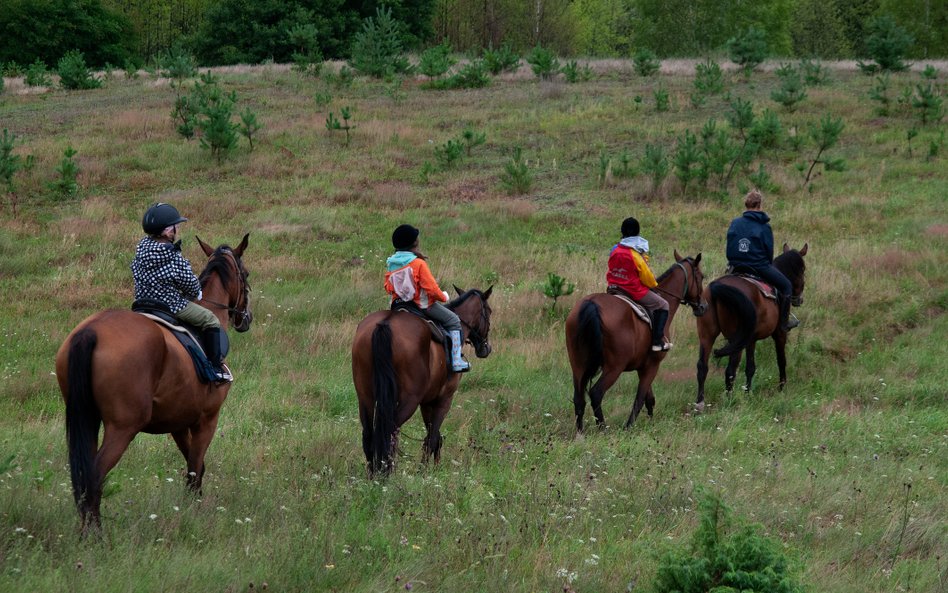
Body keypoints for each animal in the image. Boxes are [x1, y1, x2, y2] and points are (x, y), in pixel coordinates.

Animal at [55, 232, 252, 532]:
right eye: (247, 274)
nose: (245, 319)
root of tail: (91, 331)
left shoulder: (179, 423)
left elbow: (194, 466)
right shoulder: (206, 419)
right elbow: (196, 469)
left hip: (86, 419)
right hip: (122, 428)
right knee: (94, 477)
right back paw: (97, 535)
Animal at [350, 286, 492, 476]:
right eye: (489, 311)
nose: (485, 348)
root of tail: (385, 323)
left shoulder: (427, 402)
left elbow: (434, 436)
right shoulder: (443, 399)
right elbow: (432, 437)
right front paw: (424, 472)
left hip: (365, 396)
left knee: (369, 434)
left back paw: (373, 474)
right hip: (410, 400)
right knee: (390, 431)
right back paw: (387, 473)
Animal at [568, 252, 708, 432]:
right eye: (701, 276)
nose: (703, 306)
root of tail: (591, 303)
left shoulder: (644, 366)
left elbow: (649, 398)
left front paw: (650, 421)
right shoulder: (652, 365)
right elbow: (640, 398)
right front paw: (629, 426)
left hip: (578, 366)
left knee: (579, 399)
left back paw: (580, 433)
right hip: (614, 368)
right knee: (596, 393)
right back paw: (603, 428)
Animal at [692, 240, 812, 408]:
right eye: (803, 270)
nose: (799, 299)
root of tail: (718, 288)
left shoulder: (751, 339)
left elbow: (750, 367)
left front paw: (748, 393)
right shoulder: (779, 334)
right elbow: (780, 360)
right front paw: (781, 387)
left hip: (707, 335)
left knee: (702, 367)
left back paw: (700, 402)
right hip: (736, 339)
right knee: (730, 370)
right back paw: (729, 400)